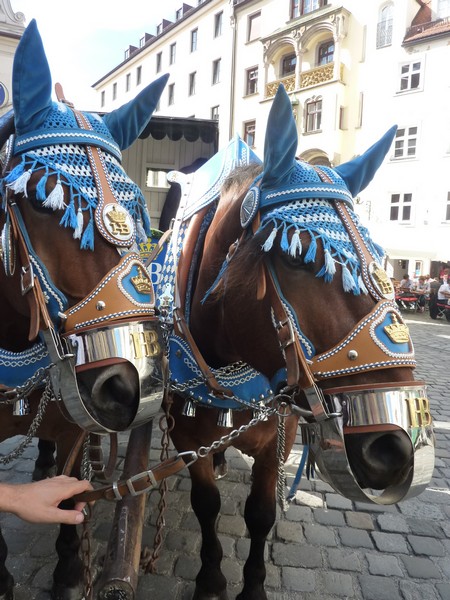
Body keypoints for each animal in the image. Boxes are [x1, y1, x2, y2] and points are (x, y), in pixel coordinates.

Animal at [0, 21, 167, 596]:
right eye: (40, 199)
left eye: (137, 206)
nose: (130, 383)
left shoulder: (75, 418)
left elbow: (72, 488)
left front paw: (71, 572)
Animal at [160, 84, 434, 600]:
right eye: (296, 257)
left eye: (384, 259)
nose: (394, 447)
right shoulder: (185, 435)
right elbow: (206, 503)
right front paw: (210, 577)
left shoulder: (279, 436)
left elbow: (261, 513)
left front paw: (252, 585)